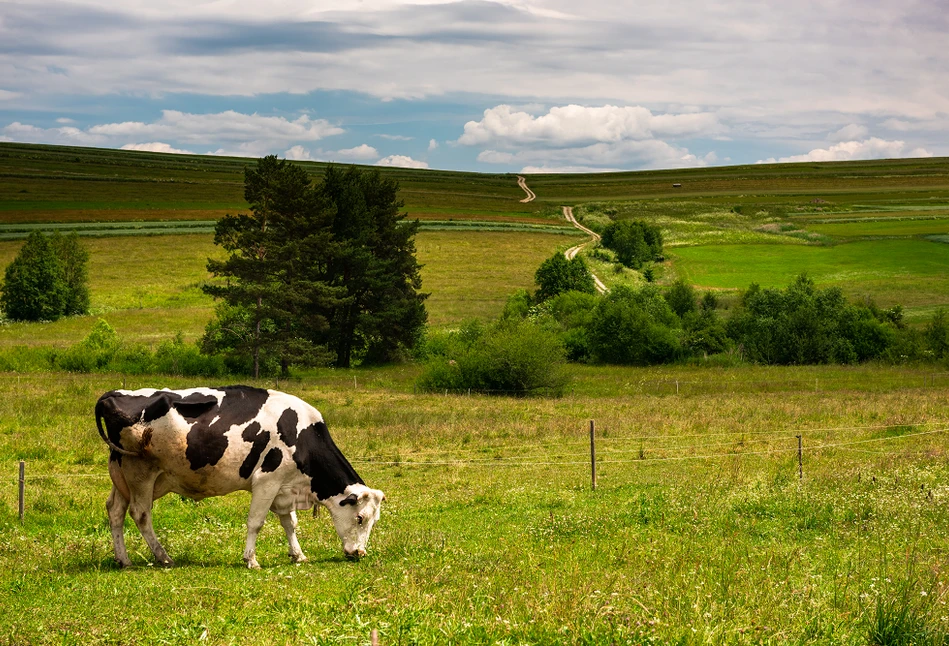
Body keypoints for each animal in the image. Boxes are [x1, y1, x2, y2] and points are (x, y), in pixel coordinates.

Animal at [92, 388, 382, 568]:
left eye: (373, 520)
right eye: (360, 517)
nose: (360, 552)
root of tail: (112, 395)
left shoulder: (284, 488)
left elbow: (290, 524)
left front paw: (297, 554)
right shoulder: (267, 481)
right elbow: (256, 522)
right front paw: (251, 559)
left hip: (123, 474)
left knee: (115, 510)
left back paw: (123, 560)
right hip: (140, 473)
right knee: (141, 514)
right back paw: (164, 557)